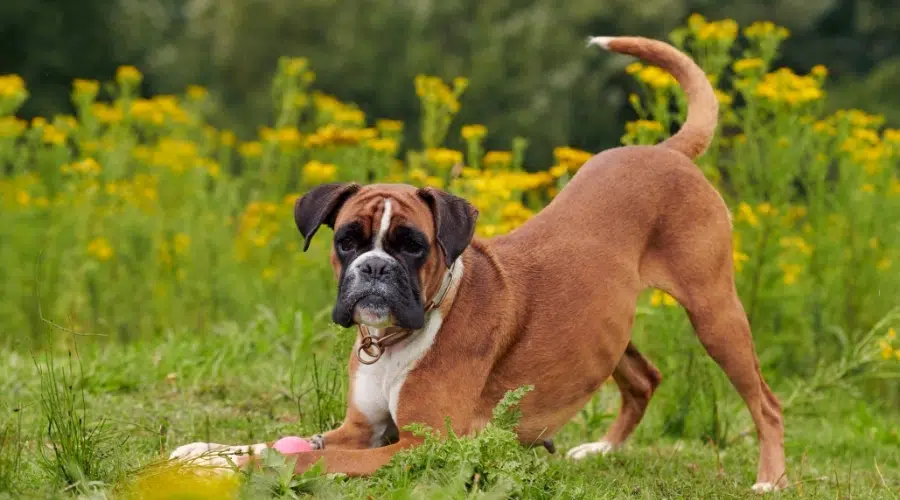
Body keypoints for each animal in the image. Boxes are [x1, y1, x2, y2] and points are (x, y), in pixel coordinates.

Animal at [171, 35, 788, 492]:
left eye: (412, 245)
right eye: (347, 240)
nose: (373, 268)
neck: (398, 337)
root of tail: (665, 152)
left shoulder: (419, 445)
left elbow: (302, 458)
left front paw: (237, 467)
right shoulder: (360, 429)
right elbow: (279, 440)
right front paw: (205, 452)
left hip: (715, 312)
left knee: (767, 402)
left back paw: (769, 479)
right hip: (608, 325)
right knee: (644, 378)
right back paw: (600, 450)